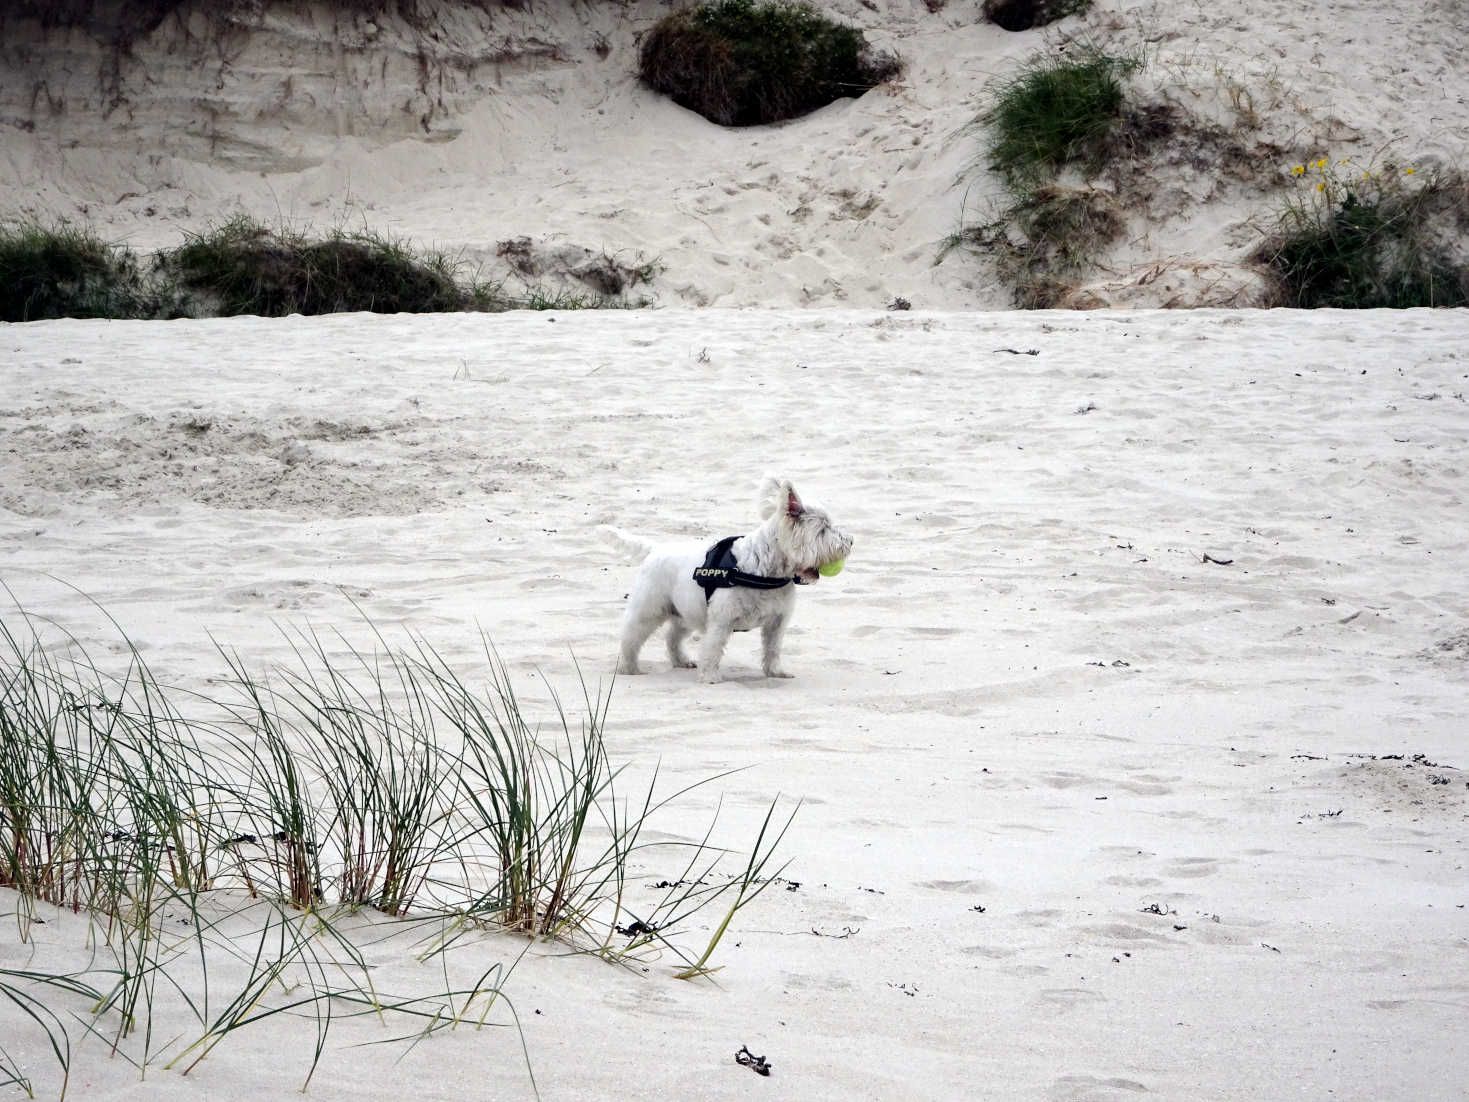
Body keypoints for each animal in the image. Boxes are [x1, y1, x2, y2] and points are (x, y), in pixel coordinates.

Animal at [599, 479, 852, 687]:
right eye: (823, 529)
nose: (850, 541)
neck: (767, 570)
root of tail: (655, 550)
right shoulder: (721, 620)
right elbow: (713, 648)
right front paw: (710, 677)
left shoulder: (777, 622)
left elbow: (772, 649)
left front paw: (776, 672)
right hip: (649, 608)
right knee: (631, 637)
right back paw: (629, 668)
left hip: (686, 612)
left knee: (672, 636)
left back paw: (681, 661)